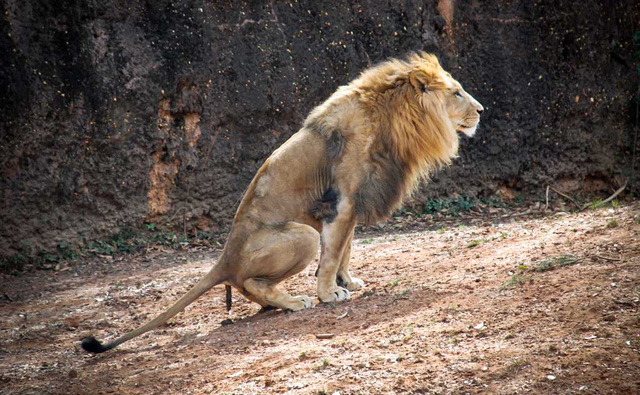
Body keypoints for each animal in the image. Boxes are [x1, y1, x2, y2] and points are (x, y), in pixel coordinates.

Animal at [80, 51, 482, 352]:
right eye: (457, 93)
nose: (482, 110)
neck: (392, 117)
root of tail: (224, 257)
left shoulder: (350, 203)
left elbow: (346, 249)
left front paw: (347, 282)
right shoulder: (343, 200)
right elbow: (333, 254)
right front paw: (328, 294)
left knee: (252, 291)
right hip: (302, 234)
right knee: (252, 282)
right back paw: (295, 301)